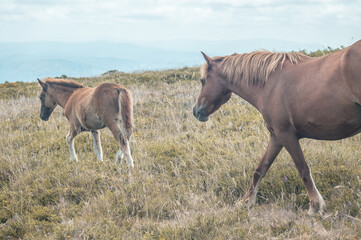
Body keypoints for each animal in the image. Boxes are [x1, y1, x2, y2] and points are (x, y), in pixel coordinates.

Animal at [193, 39, 360, 216]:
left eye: (202, 80)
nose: (196, 111)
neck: (269, 84)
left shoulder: (286, 135)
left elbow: (303, 169)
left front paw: (315, 206)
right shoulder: (276, 137)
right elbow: (260, 169)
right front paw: (245, 202)